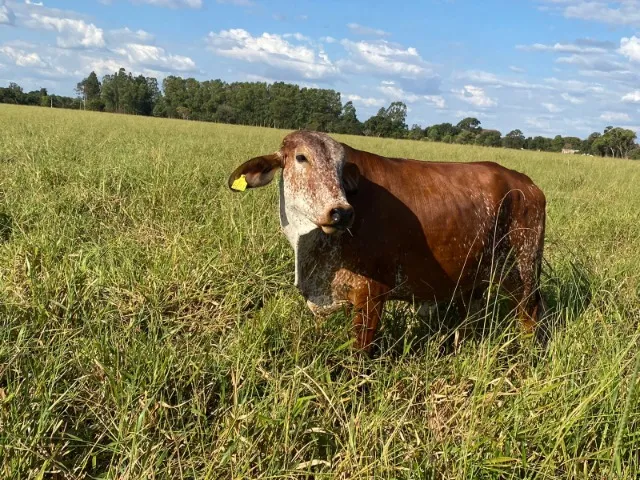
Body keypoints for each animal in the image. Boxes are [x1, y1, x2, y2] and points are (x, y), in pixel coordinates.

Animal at [228, 131, 546, 352]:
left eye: (341, 168)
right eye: (301, 158)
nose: (341, 212)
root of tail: (528, 184)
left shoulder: (371, 294)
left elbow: (359, 354)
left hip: (523, 269)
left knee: (529, 314)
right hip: (473, 279)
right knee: (470, 317)